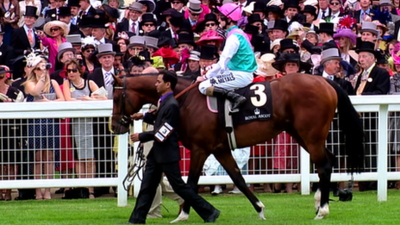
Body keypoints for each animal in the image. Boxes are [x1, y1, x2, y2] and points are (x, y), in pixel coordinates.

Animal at [111, 73, 364, 221]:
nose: (115, 126)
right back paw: (318, 202)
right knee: (328, 161)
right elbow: (238, 179)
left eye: (115, 98)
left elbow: (190, 183)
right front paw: (260, 208)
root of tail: (325, 81)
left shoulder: (201, 148)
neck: (185, 100)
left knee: (324, 165)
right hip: (300, 134)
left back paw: (323, 209)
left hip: (311, 135)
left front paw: (184, 214)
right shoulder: (220, 148)